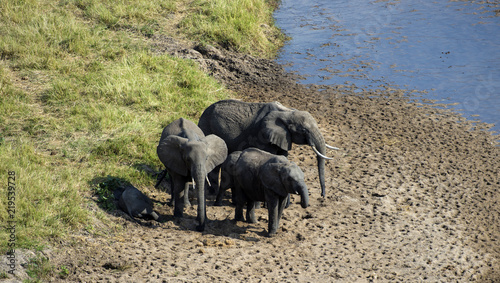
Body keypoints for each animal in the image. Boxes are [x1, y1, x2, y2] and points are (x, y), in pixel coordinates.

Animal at [197, 101, 338, 199]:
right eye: (304, 130)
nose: (322, 196)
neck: (287, 112)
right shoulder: (263, 135)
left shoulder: (283, 137)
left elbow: (283, 155)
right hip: (206, 126)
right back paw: (212, 192)